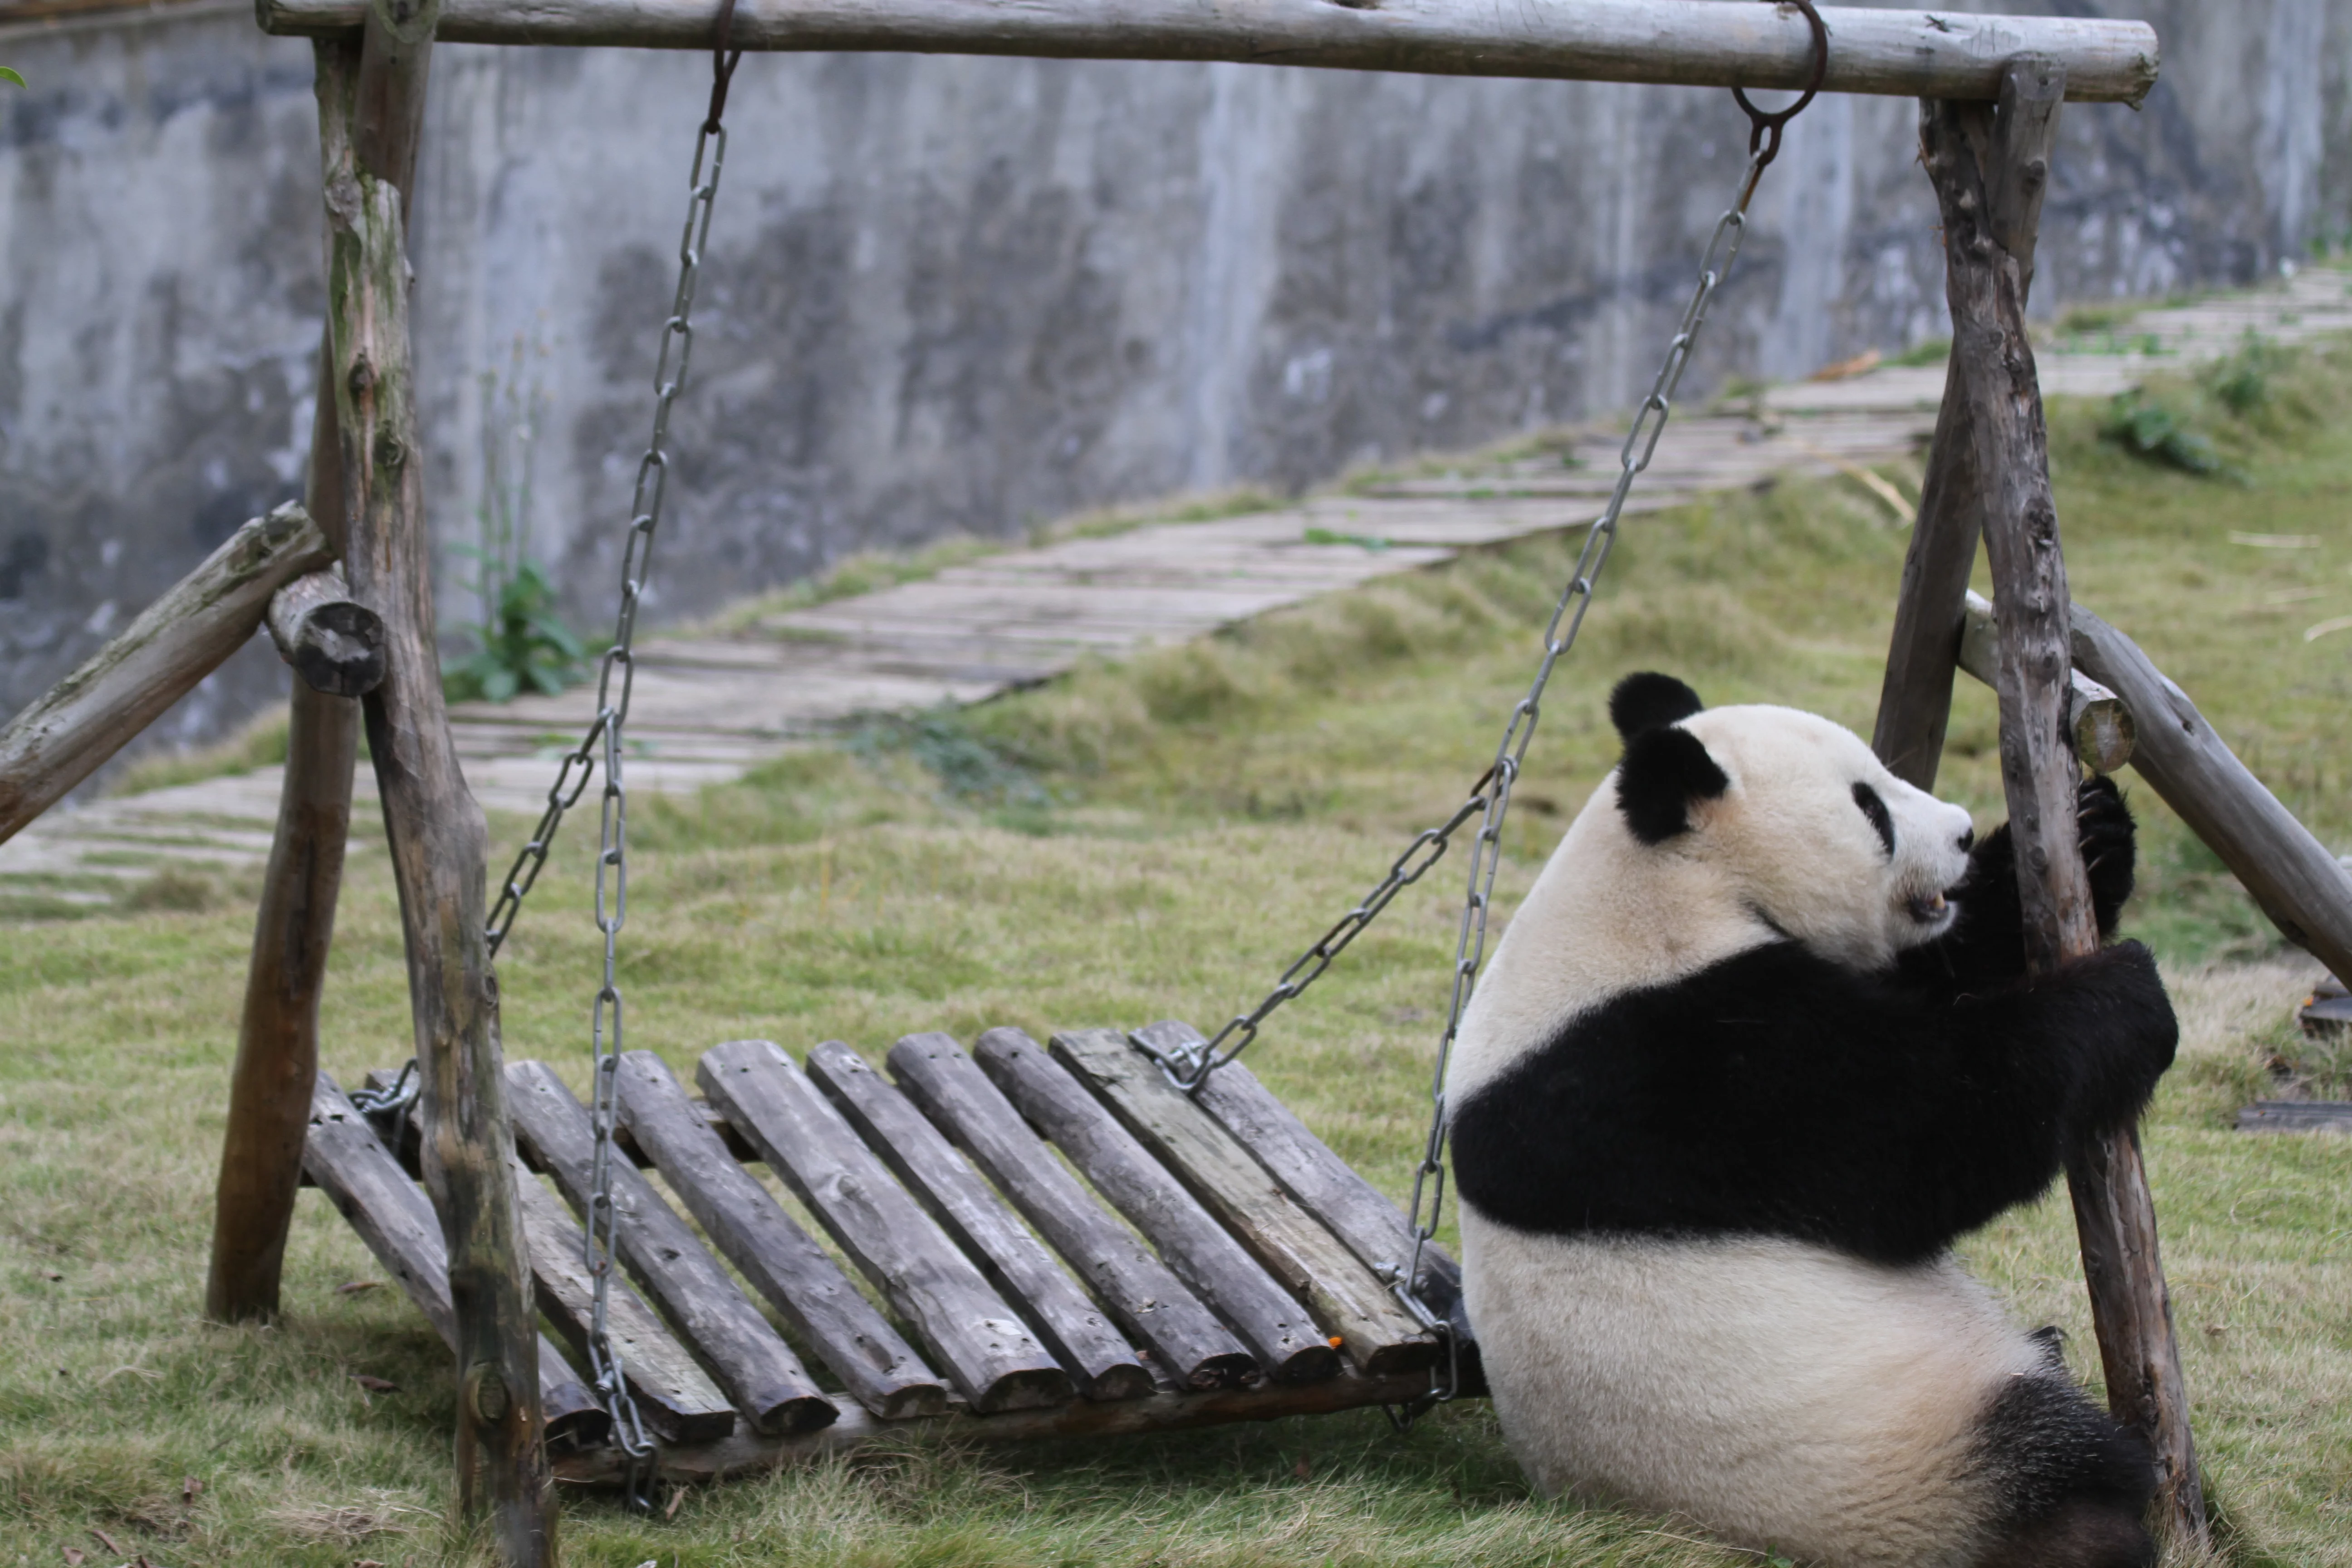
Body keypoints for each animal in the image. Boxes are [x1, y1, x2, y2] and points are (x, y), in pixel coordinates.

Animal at [1446, 672, 2178, 1568]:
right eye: (1870, 807)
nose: (1963, 833)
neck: (1667, 882)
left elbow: (1943, 975)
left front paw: (2096, 830)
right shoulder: (1673, 1067)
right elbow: (1921, 1135)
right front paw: (2127, 995)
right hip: (1894, 1454)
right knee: (2046, 1454)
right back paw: (2097, 1510)